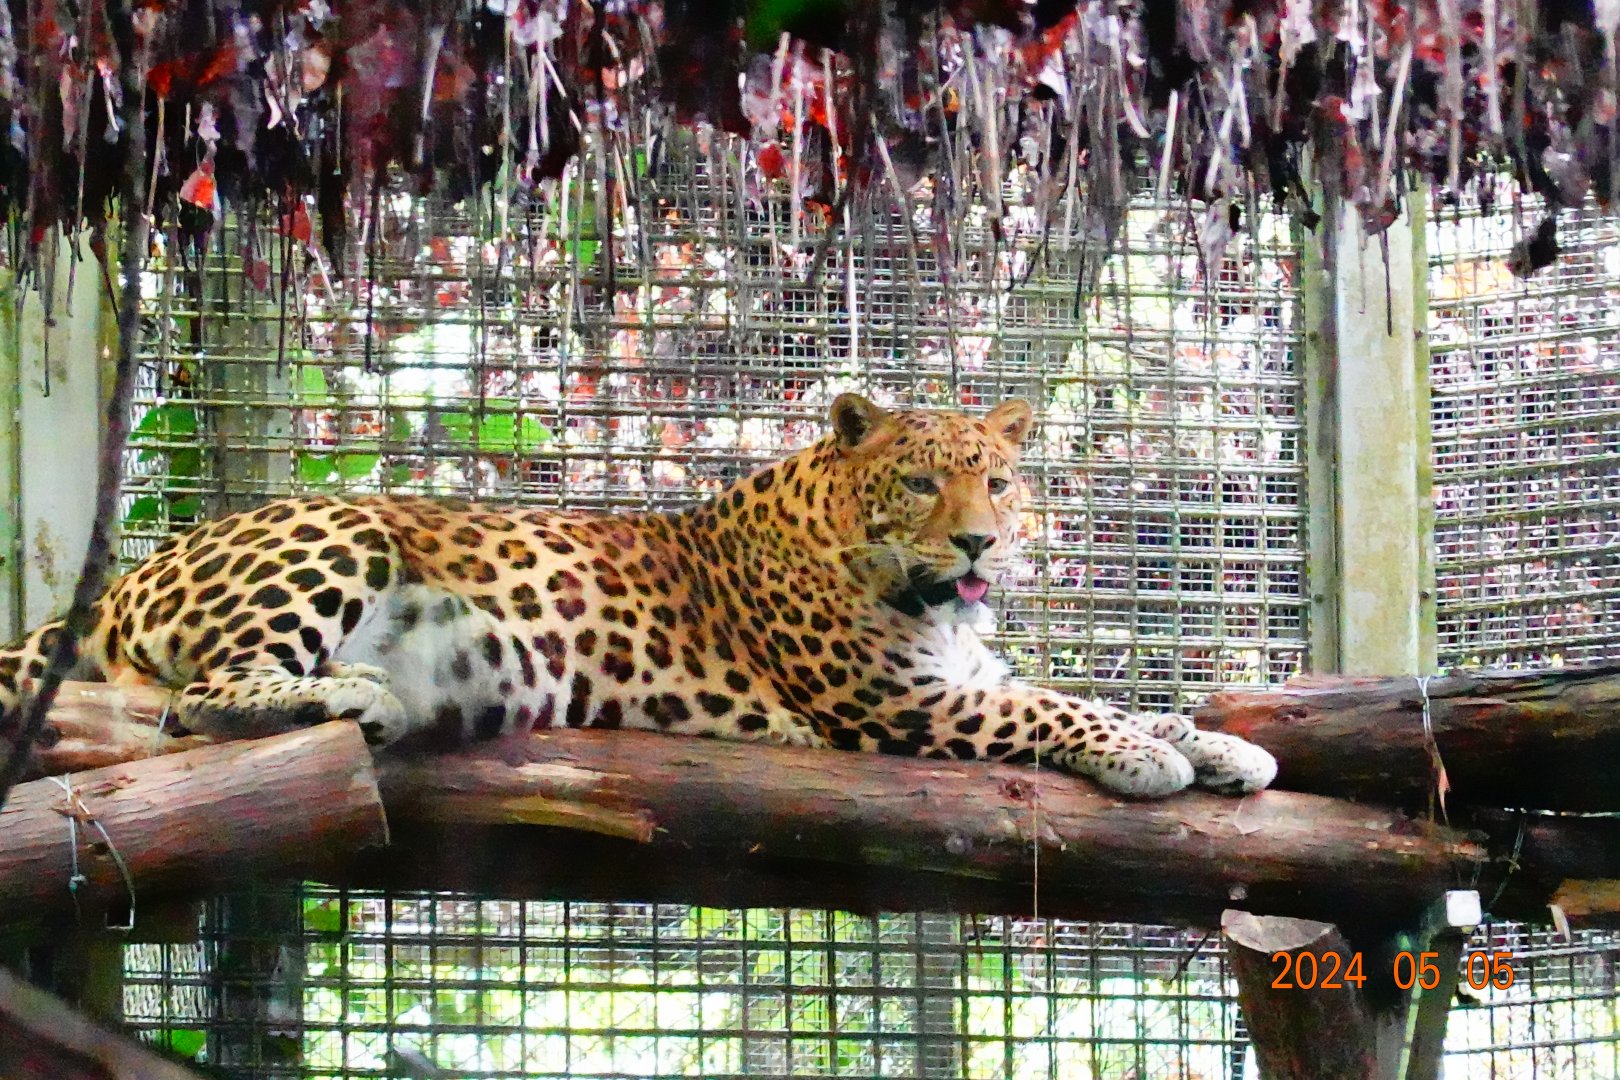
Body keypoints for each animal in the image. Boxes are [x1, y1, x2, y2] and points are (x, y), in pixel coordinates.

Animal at [0, 394, 1276, 798]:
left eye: (998, 480)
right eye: (920, 481)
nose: (979, 541)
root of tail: (136, 570)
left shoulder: (959, 675)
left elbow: (1104, 693)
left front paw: (1213, 744)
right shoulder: (896, 705)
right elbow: (1055, 708)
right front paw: (1149, 756)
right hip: (338, 528)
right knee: (201, 697)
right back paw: (356, 691)